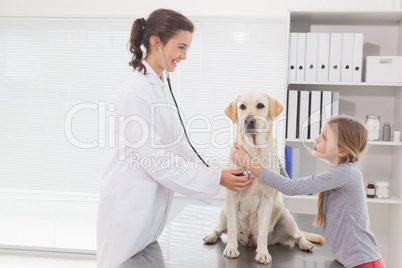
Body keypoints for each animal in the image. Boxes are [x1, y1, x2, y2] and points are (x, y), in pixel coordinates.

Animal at [204, 92, 324, 264]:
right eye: (242, 107)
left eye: (260, 105)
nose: (249, 121)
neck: (254, 151)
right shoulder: (232, 197)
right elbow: (232, 229)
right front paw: (231, 249)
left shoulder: (266, 201)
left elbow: (262, 232)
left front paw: (262, 253)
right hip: (224, 212)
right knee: (219, 229)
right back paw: (211, 236)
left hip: (286, 216)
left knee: (298, 235)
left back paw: (305, 243)